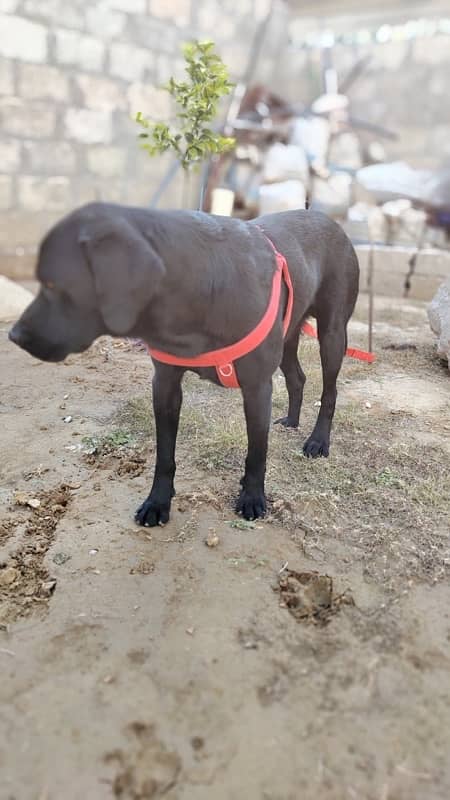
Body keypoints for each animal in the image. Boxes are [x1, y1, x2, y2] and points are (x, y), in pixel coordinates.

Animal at [8, 202, 358, 524]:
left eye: (52, 284)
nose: (13, 335)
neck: (197, 287)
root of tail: (322, 215)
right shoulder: (165, 384)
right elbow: (164, 454)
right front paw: (157, 502)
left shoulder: (257, 387)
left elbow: (257, 451)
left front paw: (252, 497)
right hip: (288, 335)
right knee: (297, 378)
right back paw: (292, 421)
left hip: (332, 335)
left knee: (329, 391)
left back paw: (317, 441)